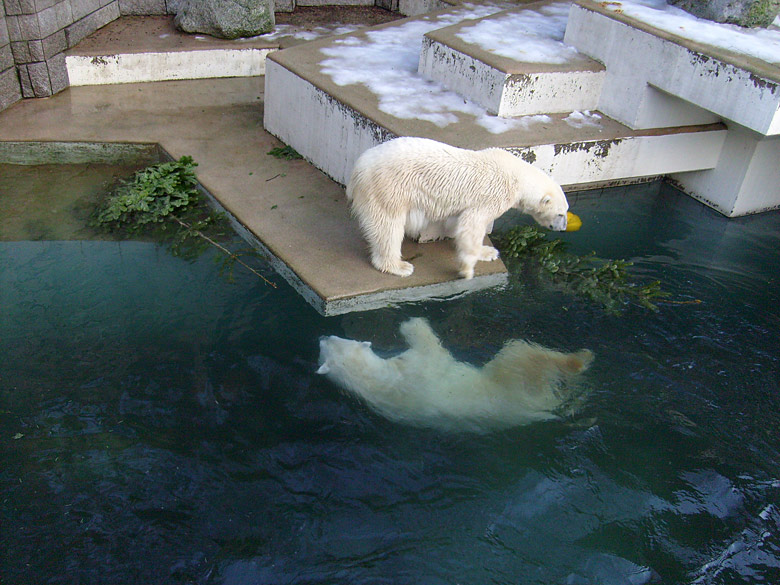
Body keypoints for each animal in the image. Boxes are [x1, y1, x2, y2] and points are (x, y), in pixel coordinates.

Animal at [316, 318, 592, 432]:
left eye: (328, 340)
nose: (322, 335)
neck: (374, 381)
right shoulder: (418, 369)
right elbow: (430, 348)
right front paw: (411, 324)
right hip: (515, 384)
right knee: (520, 352)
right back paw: (580, 360)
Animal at [346, 139, 568, 280]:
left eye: (566, 211)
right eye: (560, 213)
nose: (563, 227)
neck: (519, 176)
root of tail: (358, 168)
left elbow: (459, 223)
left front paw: (488, 251)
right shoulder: (494, 195)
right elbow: (472, 224)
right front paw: (467, 269)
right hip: (388, 189)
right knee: (388, 227)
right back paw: (399, 266)